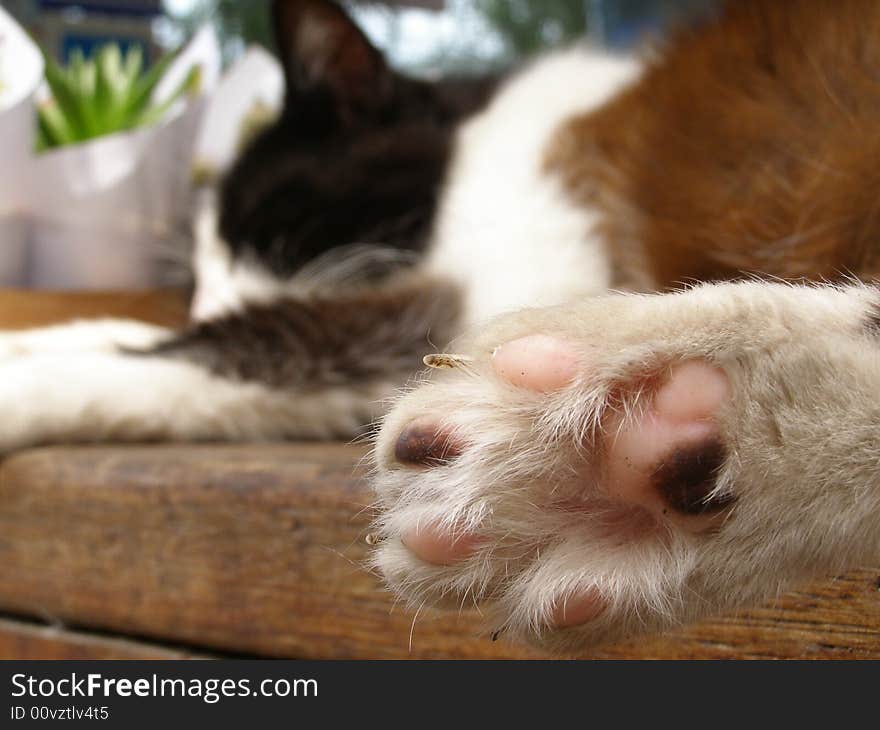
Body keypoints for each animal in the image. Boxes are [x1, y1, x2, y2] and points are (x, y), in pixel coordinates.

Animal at [5, 0, 880, 656]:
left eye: (267, 230)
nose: (205, 303)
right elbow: (143, 331)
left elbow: (269, 336)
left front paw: (23, 381)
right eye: (195, 272)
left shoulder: (492, 282)